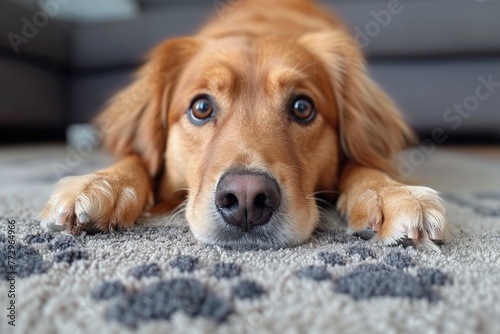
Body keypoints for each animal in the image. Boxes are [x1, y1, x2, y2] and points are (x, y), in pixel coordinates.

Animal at [41, 0, 452, 250]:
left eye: (302, 107)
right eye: (201, 107)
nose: (246, 200)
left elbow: (362, 165)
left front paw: (390, 192)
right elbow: (138, 158)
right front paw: (102, 184)